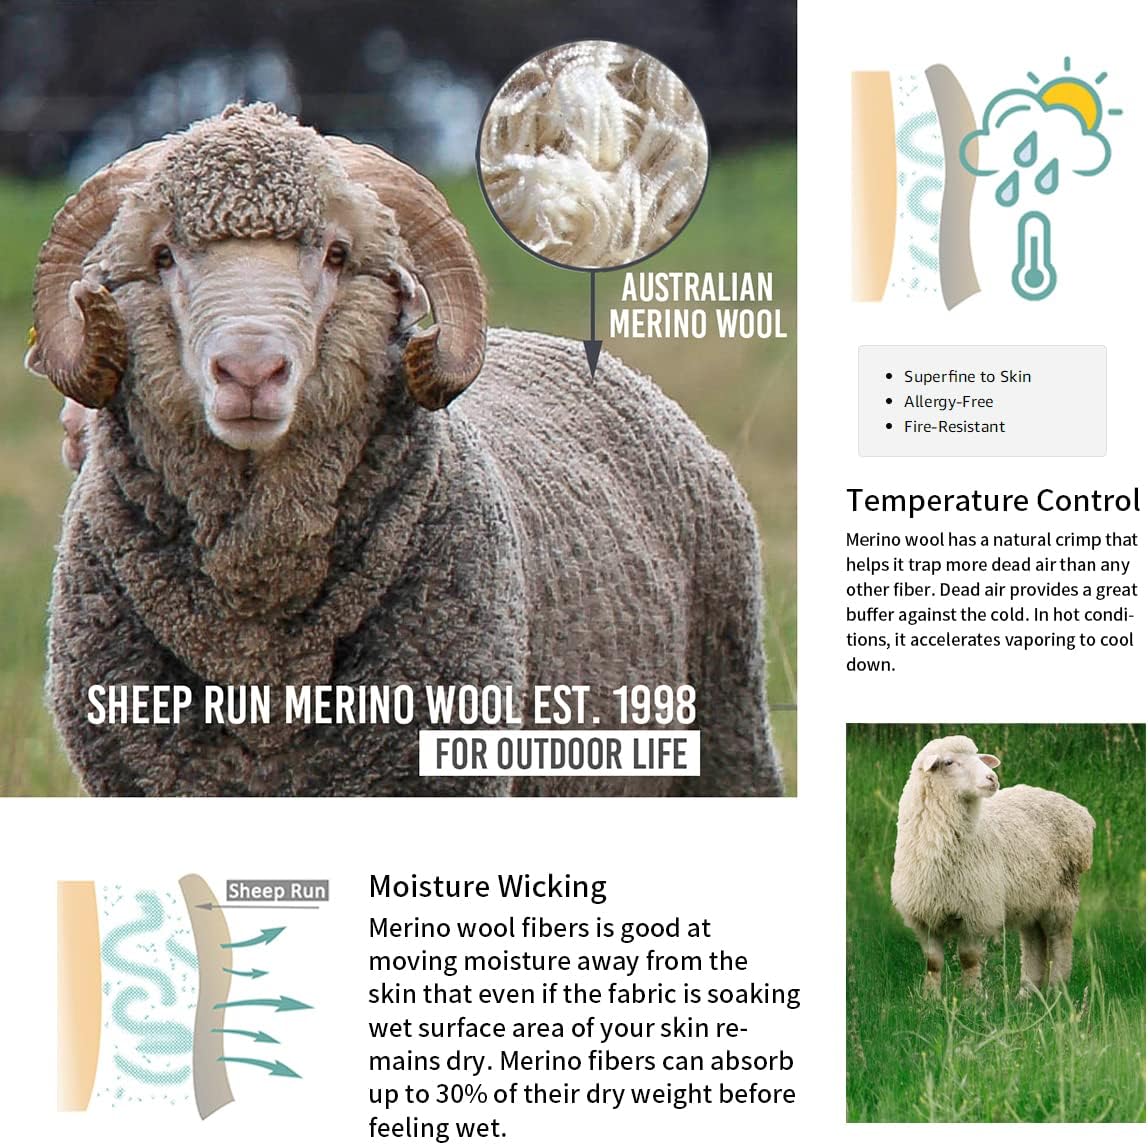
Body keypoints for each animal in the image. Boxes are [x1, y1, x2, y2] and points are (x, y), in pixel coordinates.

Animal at [890, 735, 1094, 996]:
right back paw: (1027, 993)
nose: (992, 778)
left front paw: (972, 998)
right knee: (1034, 940)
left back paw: (1057, 990)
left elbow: (969, 959)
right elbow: (932, 962)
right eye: (948, 762)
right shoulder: (924, 916)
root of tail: (1081, 813)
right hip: (1031, 898)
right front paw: (930, 999)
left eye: (979, 758)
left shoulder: (976, 910)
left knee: (1060, 940)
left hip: (1061, 894)